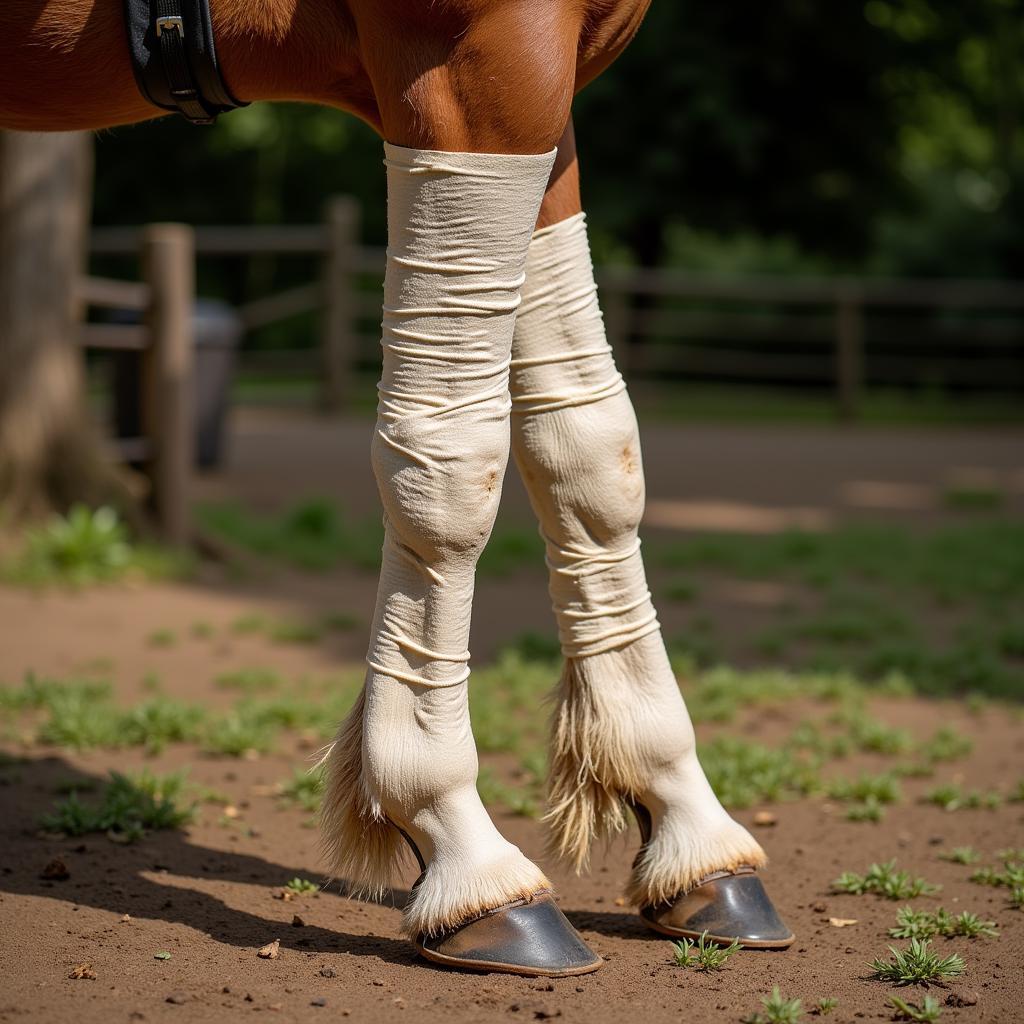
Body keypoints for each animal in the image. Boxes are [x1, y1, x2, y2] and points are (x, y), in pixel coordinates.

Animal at [0, 0, 790, 974]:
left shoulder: (545, 94)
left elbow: (586, 441)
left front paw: (686, 824)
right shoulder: (467, 62)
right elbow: (450, 457)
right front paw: (458, 844)